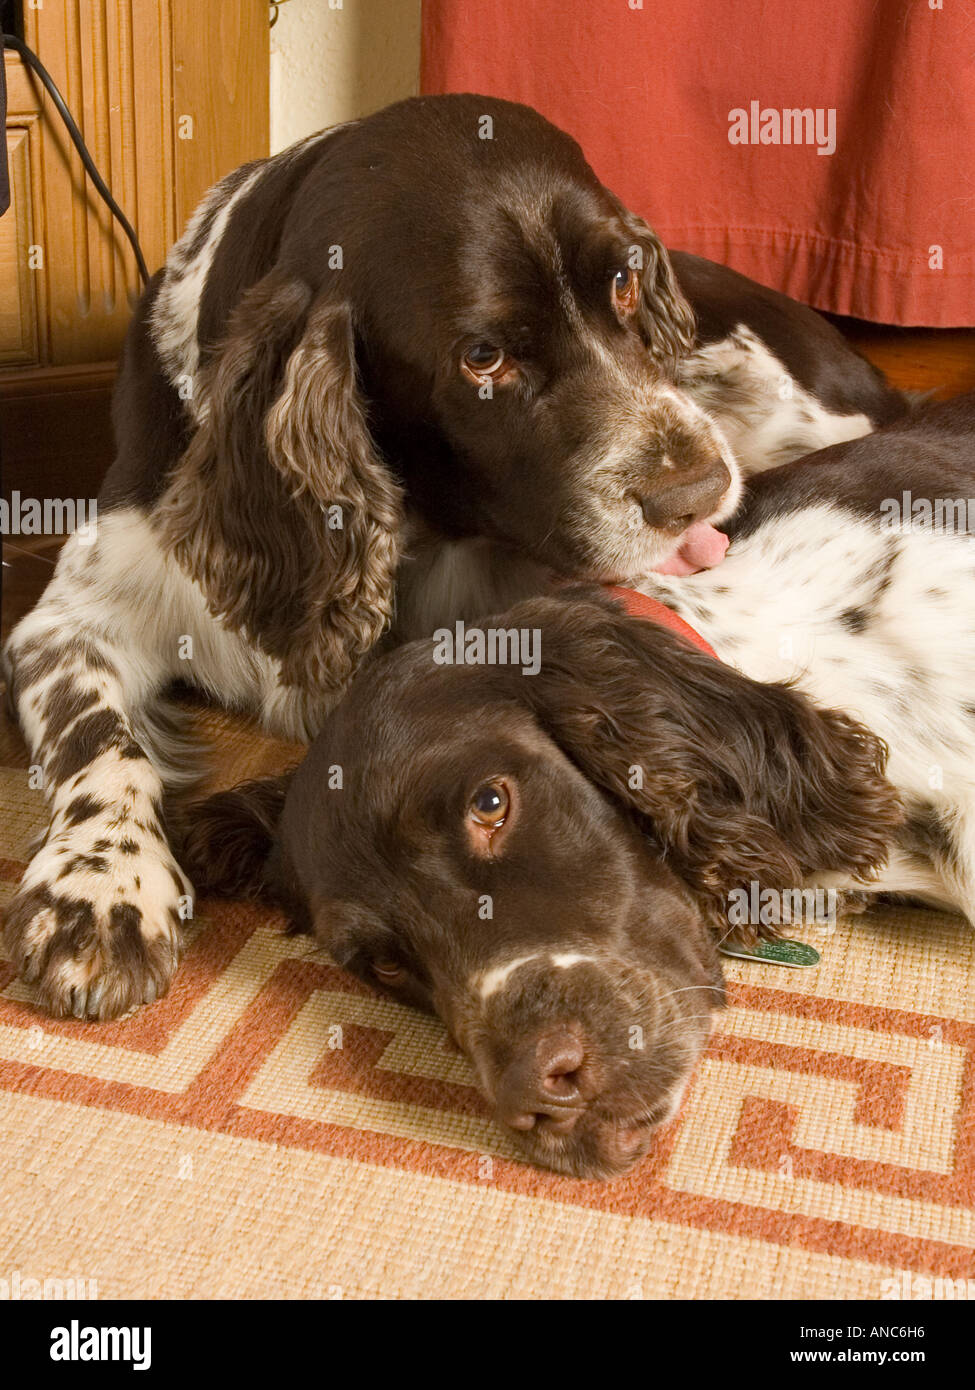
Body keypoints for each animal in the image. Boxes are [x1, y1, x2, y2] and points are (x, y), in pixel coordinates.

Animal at [1, 92, 906, 1017]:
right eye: (483, 356)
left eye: (623, 281)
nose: (697, 488)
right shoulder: (76, 615)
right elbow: (96, 738)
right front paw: (97, 888)